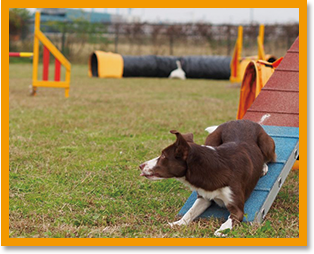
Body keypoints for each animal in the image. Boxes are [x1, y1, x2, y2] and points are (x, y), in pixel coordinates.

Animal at [139, 119, 276, 236]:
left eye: (163, 156)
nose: (140, 165)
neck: (210, 168)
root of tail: (241, 120)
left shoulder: (237, 208)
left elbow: (230, 219)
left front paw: (222, 230)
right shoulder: (204, 197)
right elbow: (190, 212)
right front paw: (177, 224)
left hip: (266, 144)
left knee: (271, 157)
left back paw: (263, 167)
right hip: (212, 138)